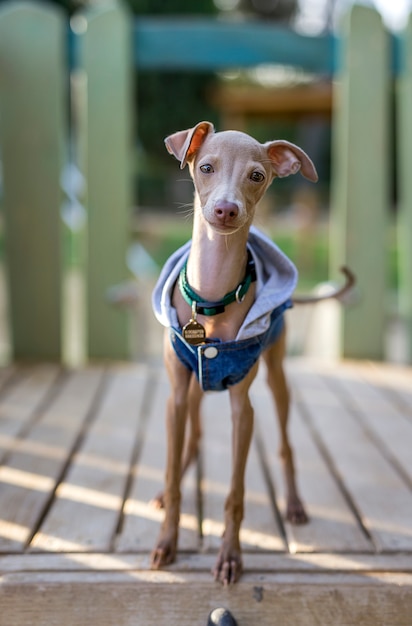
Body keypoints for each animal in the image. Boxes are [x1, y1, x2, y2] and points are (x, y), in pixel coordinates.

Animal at [151, 123, 354, 584]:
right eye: (206, 167)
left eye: (257, 176)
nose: (226, 210)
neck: (211, 298)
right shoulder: (175, 395)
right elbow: (172, 474)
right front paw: (167, 542)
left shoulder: (243, 409)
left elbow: (235, 493)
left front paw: (230, 556)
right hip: (193, 389)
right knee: (192, 439)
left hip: (277, 378)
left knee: (285, 445)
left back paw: (294, 504)